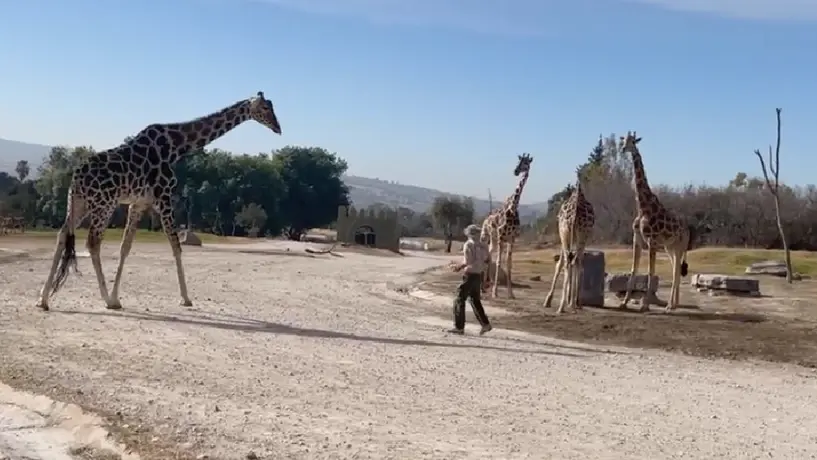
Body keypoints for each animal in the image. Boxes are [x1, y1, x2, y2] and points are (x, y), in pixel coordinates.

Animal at [36, 91, 282, 311]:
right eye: (265, 108)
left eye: (271, 106)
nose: (278, 128)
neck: (176, 146)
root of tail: (76, 177)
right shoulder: (164, 196)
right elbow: (175, 245)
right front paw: (186, 298)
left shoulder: (139, 203)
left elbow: (126, 247)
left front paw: (117, 296)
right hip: (104, 204)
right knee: (93, 242)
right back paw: (105, 300)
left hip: (79, 202)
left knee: (62, 235)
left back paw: (43, 299)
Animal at [480, 153, 533, 299]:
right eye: (518, 161)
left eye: (526, 163)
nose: (515, 171)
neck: (513, 208)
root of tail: (485, 219)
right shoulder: (501, 236)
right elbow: (499, 262)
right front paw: (495, 292)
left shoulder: (512, 239)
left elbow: (509, 264)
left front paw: (511, 293)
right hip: (486, 236)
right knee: (486, 256)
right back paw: (484, 287)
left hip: (493, 240)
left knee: (488, 255)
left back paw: (485, 286)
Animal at [543, 166, 595, 314]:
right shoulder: (575, 236)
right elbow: (574, 262)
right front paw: (573, 301)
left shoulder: (564, 236)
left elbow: (560, 263)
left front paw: (549, 300)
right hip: (580, 234)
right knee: (575, 260)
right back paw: (569, 304)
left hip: (568, 233)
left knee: (569, 261)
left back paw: (563, 306)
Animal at [618, 131, 690, 313]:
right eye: (623, 140)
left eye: (633, 141)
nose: (623, 149)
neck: (642, 207)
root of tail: (688, 228)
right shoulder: (637, 240)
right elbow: (633, 271)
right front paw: (624, 302)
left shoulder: (652, 241)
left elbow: (651, 272)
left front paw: (644, 305)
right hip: (670, 248)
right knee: (675, 269)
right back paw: (674, 304)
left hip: (680, 247)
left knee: (676, 272)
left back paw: (670, 306)